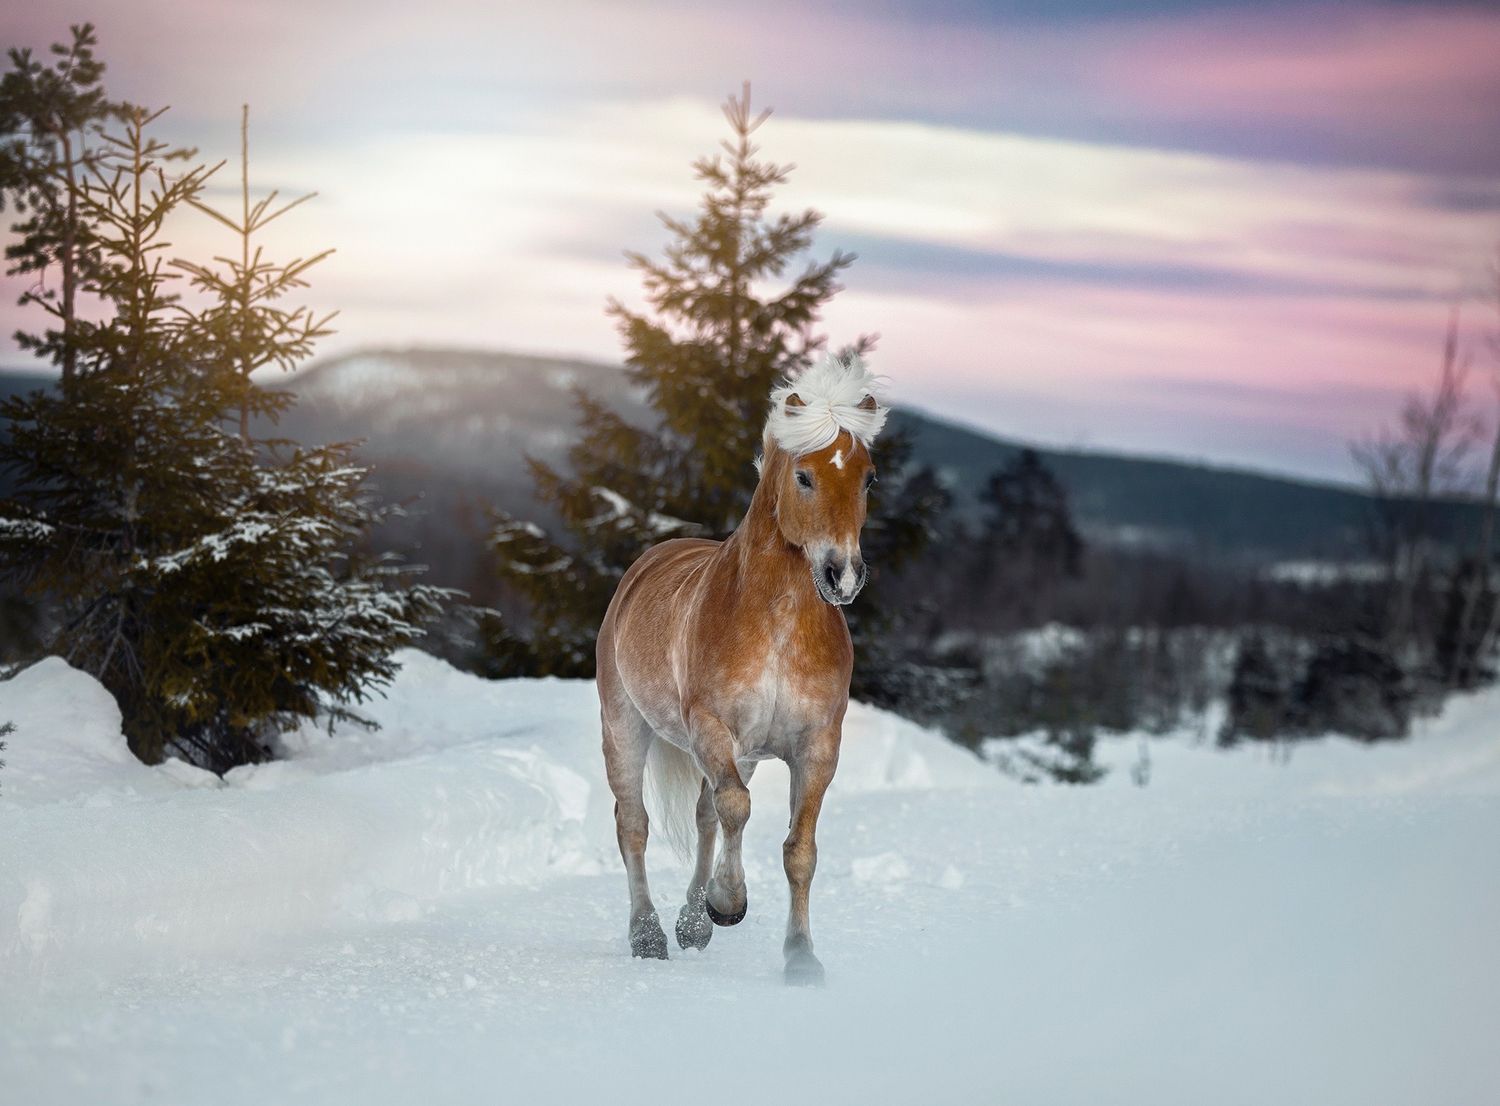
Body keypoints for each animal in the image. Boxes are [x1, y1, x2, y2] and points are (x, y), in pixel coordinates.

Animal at [595, 353, 887, 986]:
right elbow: (737, 809)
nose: (843, 577)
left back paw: (690, 924)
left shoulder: (816, 746)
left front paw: (800, 957)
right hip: (625, 726)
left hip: (741, 753)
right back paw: (649, 935)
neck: (777, 624)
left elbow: (798, 850)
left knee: (705, 817)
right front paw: (728, 903)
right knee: (634, 824)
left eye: (868, 477)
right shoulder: (712, 728)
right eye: (804, 477)